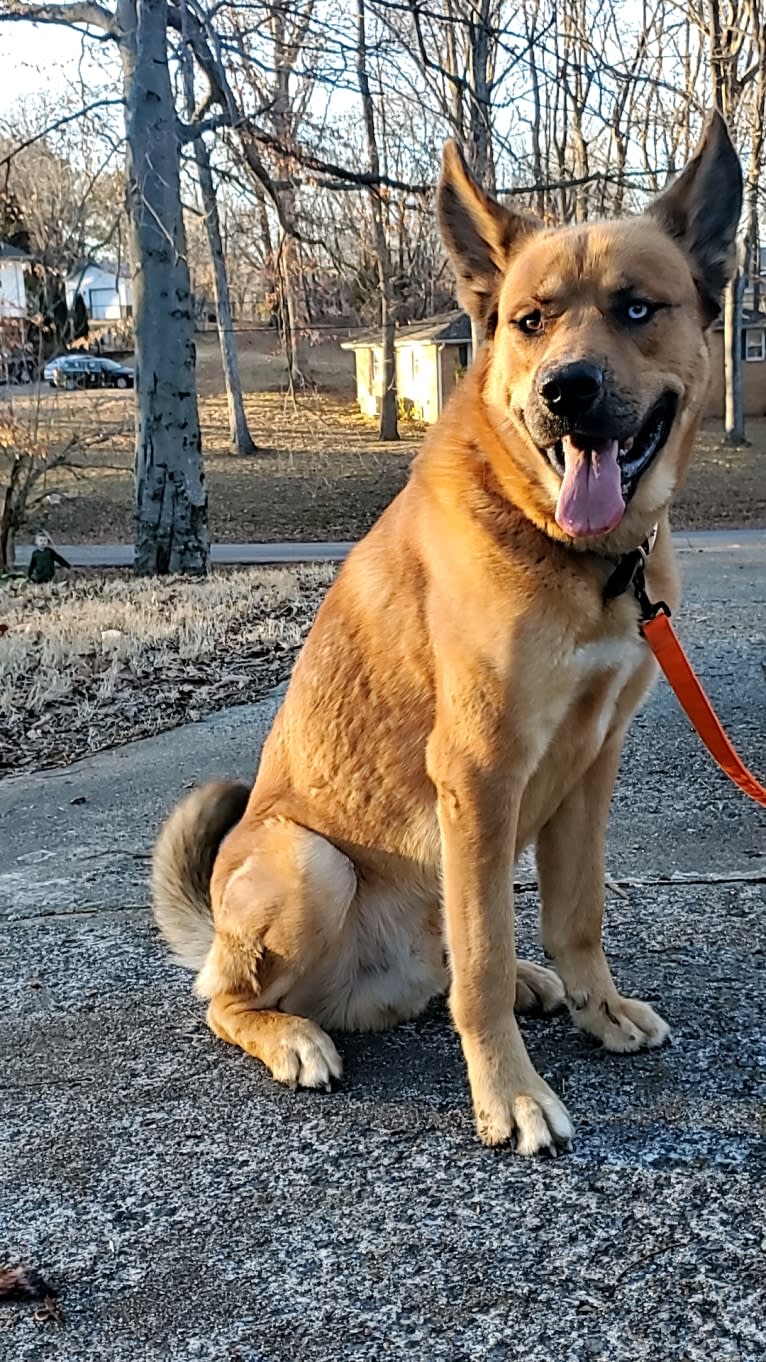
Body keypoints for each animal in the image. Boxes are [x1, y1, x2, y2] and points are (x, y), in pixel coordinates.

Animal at [153, 119, 741, 1160]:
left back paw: (531, 991)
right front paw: (510, 1093)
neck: (567, 546)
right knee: (229, 999)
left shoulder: (591, 767)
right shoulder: (479, 772)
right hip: (316, 865)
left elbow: (576, 915)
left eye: (637, 308)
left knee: (444, 971)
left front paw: (595, 1007)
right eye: (531, 321)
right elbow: (487, 963)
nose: (566, 392)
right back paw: (292, 1035)